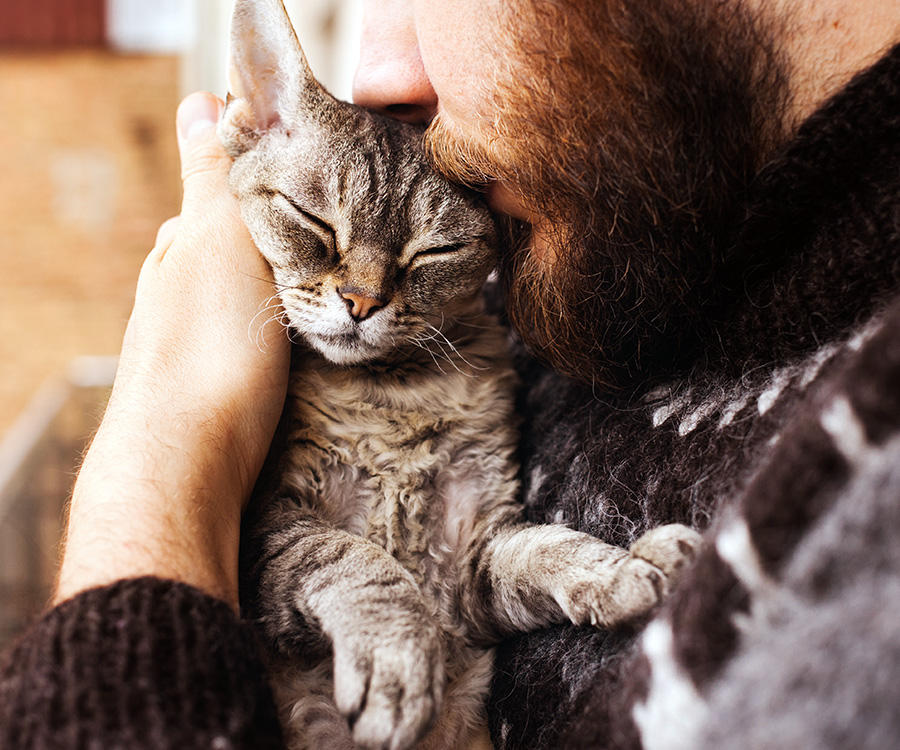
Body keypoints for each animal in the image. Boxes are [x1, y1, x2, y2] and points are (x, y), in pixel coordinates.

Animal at [218, 1, 704, 750]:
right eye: (313, 221)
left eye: (434, 252)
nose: (361, 301)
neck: (392, 395)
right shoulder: (266, 528)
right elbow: (355, 560)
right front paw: (398, 658)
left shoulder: (474, 553)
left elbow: (544, 548)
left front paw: (623, 567)